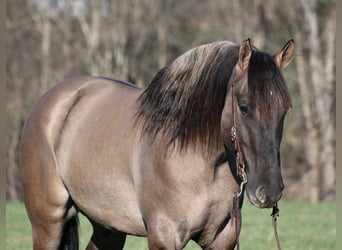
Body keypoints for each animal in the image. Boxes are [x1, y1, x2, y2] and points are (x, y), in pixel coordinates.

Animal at [19, 38, 294, 249]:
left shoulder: (222, 239)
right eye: (244, 107)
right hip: (48, 223)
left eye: (285, 110)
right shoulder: (164, 236)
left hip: (108, 227)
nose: (269, 191)